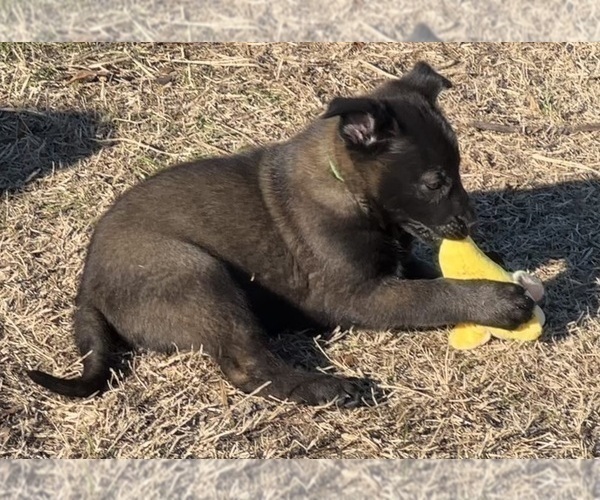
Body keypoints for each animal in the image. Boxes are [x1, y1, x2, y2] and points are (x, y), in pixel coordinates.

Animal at [28, 61, 536, 406]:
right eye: (435, 182)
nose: (471, 224)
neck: (346, 189)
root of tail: (88, 286)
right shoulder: (358, 296)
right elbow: (433, 294)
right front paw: (498, 300)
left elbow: (428, 271)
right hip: (197, 275)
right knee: (248, 366)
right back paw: (327, 387)